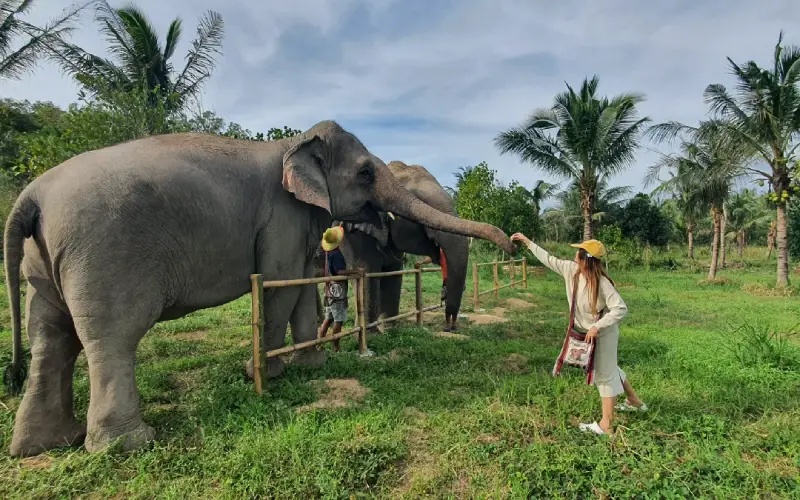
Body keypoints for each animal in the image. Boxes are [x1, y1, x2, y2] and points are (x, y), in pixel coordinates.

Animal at [331, 161, 469, 332]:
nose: (449, 327)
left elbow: (394, 272)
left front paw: (390, 329)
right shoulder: (354, 233)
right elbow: (366, 271)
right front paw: (372, 333)